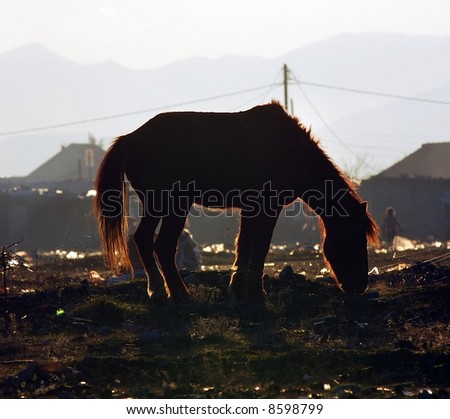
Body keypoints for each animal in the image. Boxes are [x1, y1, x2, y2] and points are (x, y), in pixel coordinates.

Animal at [95, 101, 380, 306]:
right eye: (354, 237)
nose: (359, 286)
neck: (292, 152)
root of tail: (131, 138)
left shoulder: (251, 209)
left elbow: (243, 248)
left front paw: (239, 291)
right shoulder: (268, 207)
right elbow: (259, 248)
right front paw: (256, 294)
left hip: (161, 206)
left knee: (145, 240)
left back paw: (159, 292)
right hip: (171, 205)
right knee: (161, 245)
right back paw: (176, 294)